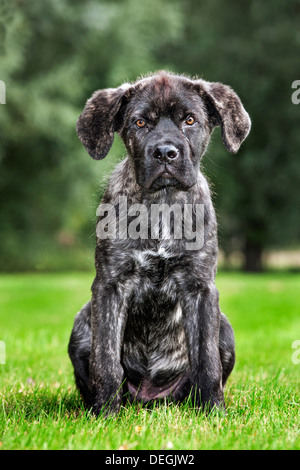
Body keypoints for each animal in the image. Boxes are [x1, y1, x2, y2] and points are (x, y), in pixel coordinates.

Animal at [68, 70, 251, 414]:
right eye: (140, 123)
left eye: (190, 120)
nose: (165, 152)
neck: (162, 204)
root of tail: (150, 398)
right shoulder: (110, 286)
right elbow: (106, 360)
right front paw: (105, 415)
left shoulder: (200, 288)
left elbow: (207, 361)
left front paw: (214, 413)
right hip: (82, 324)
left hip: (226, 329)